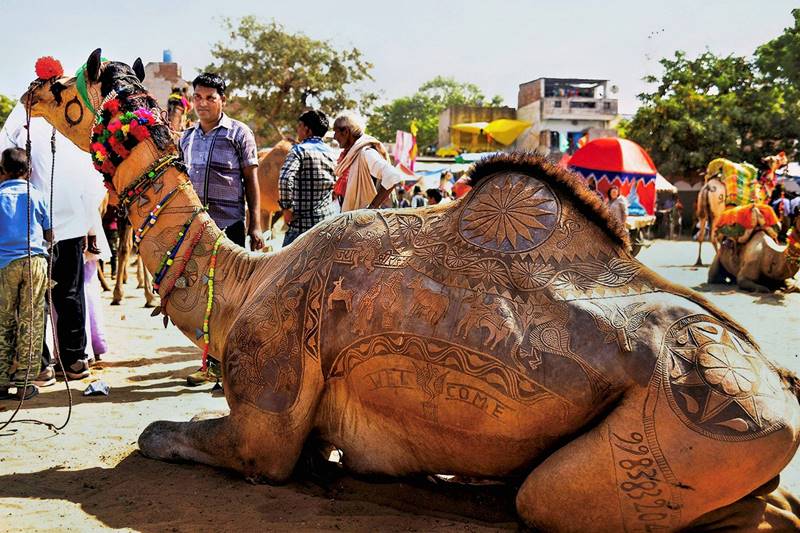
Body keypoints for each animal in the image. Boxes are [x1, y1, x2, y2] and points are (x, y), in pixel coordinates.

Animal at [24, 50, 800, 531]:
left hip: (706, 422)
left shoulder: (263, 418)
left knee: (555, 499)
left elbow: (164, 435)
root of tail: (775, 380)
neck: (248, 281)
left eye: (66, 88)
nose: (30, 89)